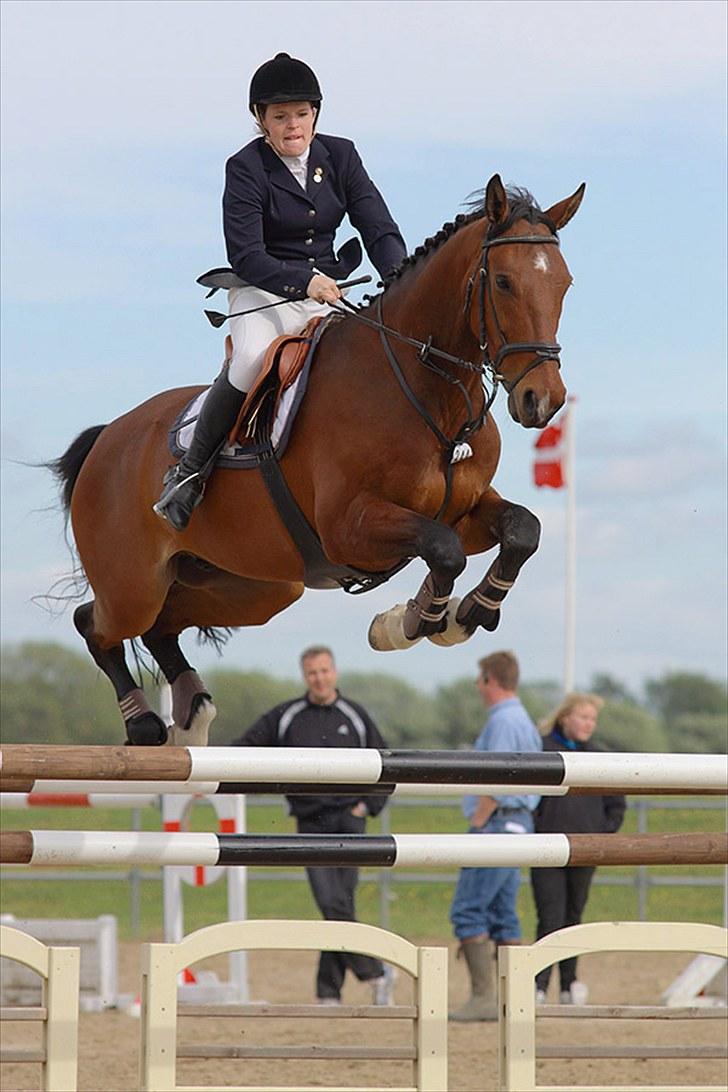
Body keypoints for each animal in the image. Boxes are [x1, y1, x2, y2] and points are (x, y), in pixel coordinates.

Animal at [49, 174, 585, 746]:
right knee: (96, 623)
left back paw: (192, 715)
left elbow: (520, 530)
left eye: (565, 284)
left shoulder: (462, 511)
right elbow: (444, 550)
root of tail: (107, 437)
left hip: (250, 586)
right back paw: (146, 721)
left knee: (164, 626)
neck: (425, 390)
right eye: (503, 282)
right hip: (135, 585)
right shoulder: (349, 528)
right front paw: (414, 621)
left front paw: (467, 612)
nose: (542, 401)